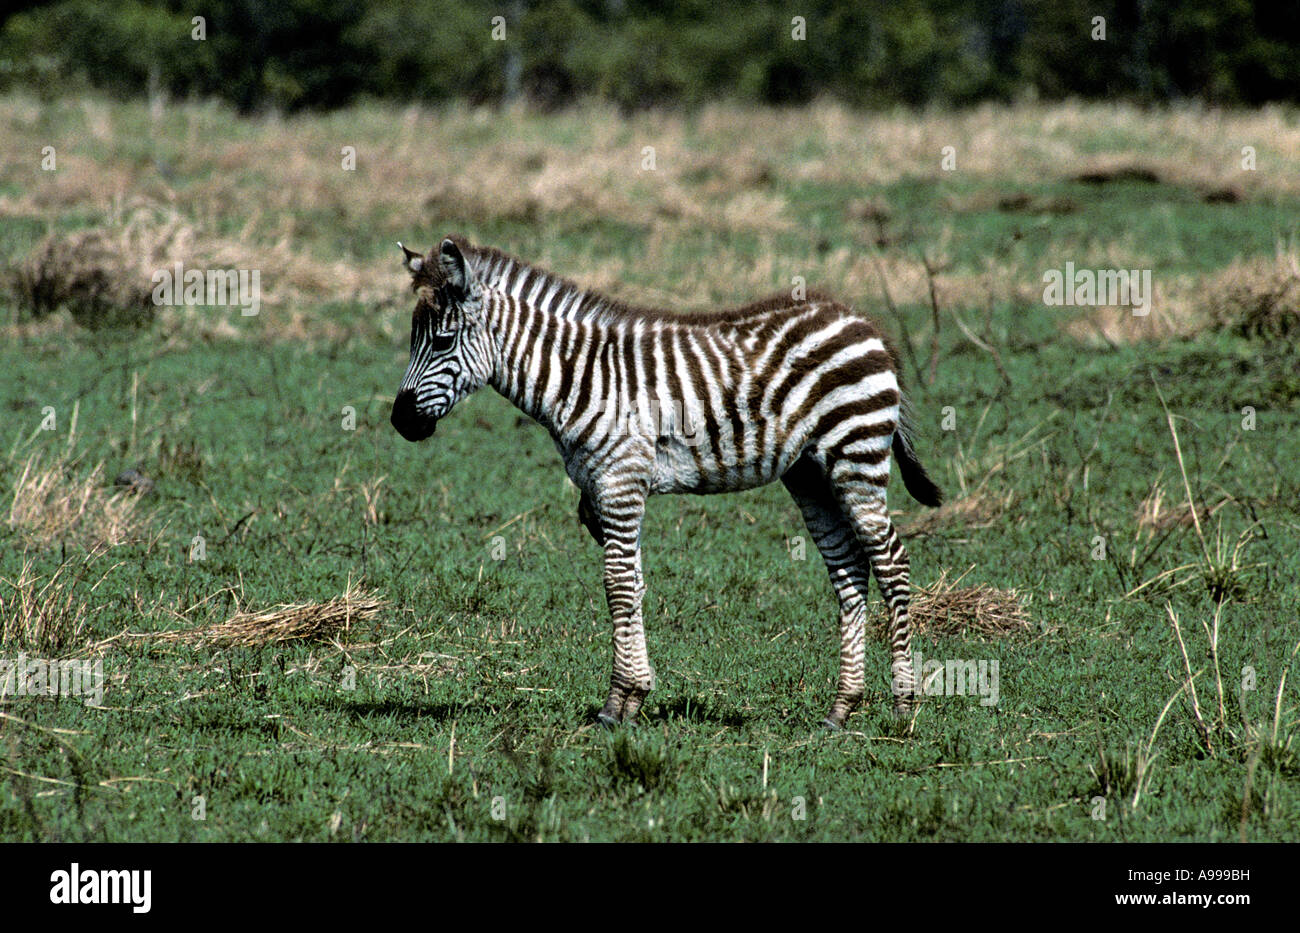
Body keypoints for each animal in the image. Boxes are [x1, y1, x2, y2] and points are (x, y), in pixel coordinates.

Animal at [389, 235, 944, 729]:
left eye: (442, 341)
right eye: (413, 340)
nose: (400, 422)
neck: (577, 378)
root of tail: (861, 321)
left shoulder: (619, 483)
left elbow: (616, 586)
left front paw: (615, 705)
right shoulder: (605, 490)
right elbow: (633, 584)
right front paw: (634, 698)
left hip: (855, 454)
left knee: (891, 561)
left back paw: (903, 707)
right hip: (810, 473)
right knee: (848, 568)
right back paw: (841, 708)